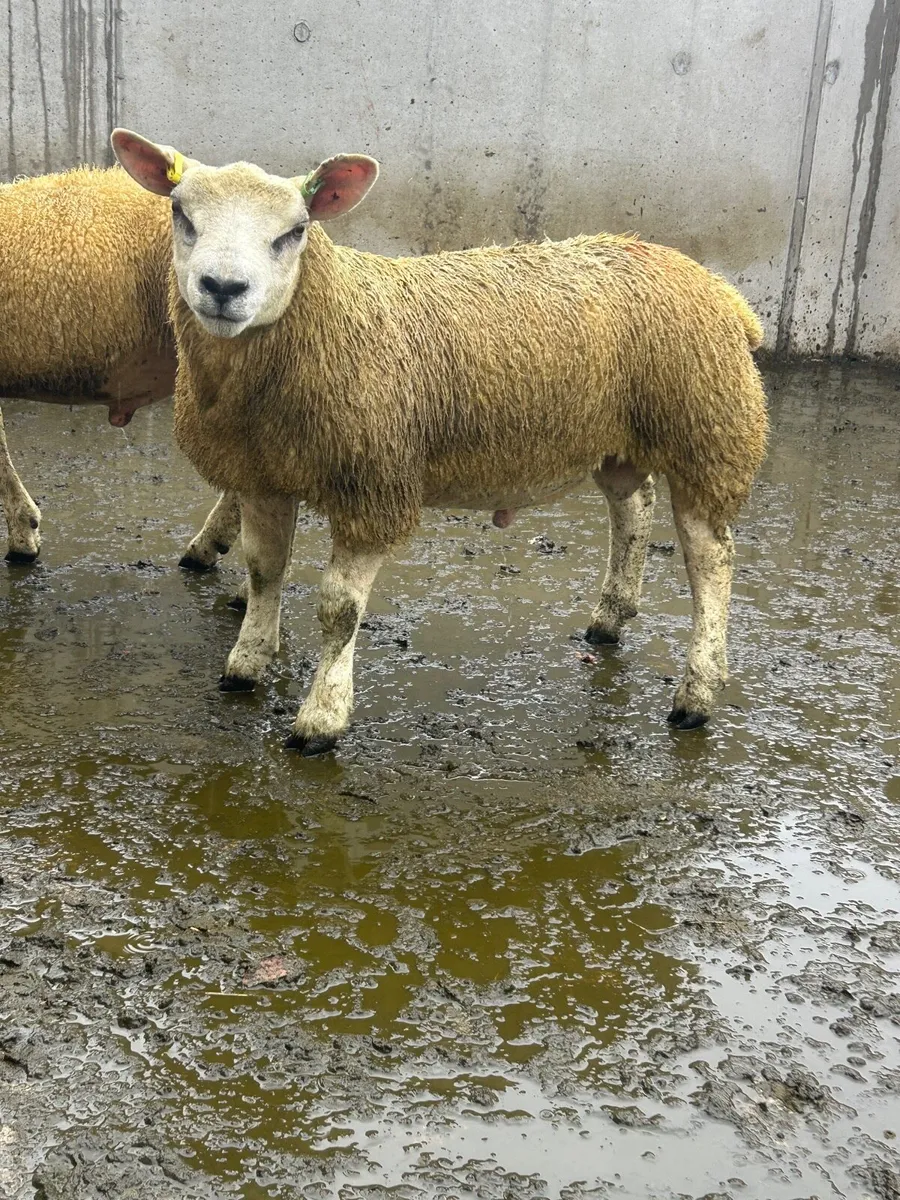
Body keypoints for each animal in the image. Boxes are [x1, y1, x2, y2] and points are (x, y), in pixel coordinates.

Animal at [112, 128, 768, 756]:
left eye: (295, 231)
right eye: (180, 214)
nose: (223, 288)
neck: (334, 317)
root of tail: (718, 288)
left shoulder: (373, 485)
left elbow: (338, 611)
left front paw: (321, 718)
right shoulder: (262, 474)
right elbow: (263, 572)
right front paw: (246, 665)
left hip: (707, 431)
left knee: (711, 560)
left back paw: (697, 692)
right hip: (618, 436)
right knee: (633, 509)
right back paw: (610, 617)